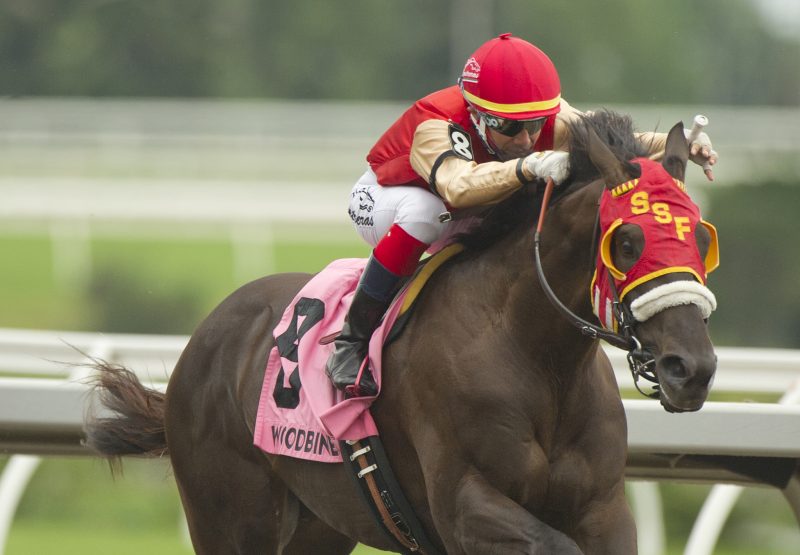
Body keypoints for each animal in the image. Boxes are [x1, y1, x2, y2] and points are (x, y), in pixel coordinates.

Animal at [86, 111, 720, 552]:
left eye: (699, 236)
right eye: (627, 242)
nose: (693, 369)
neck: (537, 359)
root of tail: (206, 335)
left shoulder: (603, 509)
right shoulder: (465, 505)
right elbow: (547, 541)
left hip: (320, 523)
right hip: (229, 517)